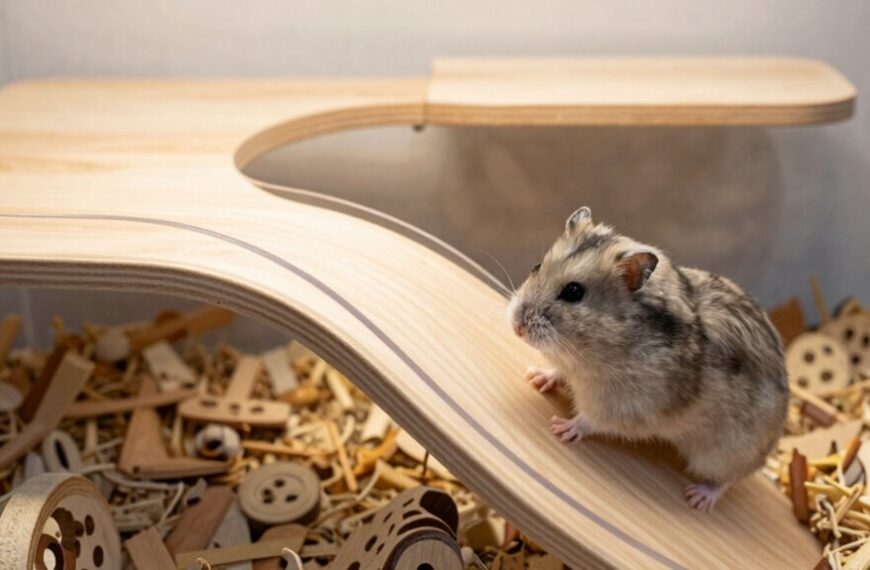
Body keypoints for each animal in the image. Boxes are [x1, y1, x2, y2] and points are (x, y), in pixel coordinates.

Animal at [507, 206, 789, 511]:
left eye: (573, 292)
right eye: (536, 266)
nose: (517, 327)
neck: (589, 351)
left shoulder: (620, 405)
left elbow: (590, 419)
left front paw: (561, 428)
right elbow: (556, 371)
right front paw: (534, 377)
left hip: (722, 453)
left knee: (727, 479)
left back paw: (698, 498)